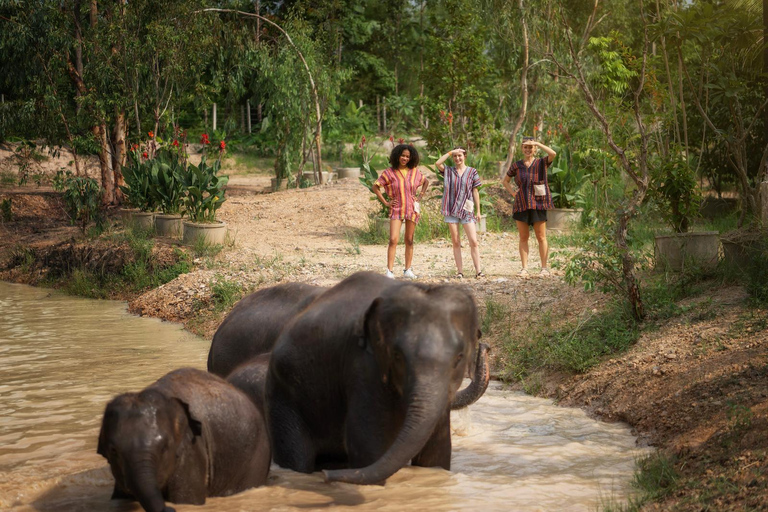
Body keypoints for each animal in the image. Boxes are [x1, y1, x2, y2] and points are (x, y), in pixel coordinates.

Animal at [268, 270, 488, 486]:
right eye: (397, 356)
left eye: (459, 357)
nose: (486, 347)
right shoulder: (362, 368)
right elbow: (368, 448)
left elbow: (436, 454)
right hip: (283, 397)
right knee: (297, 458)